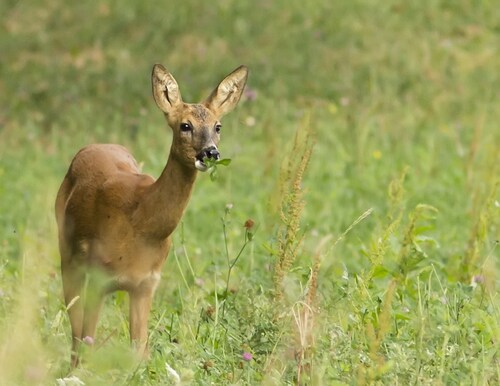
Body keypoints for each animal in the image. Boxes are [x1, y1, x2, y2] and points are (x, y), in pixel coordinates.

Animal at [55, 64, 248, 368]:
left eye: (218, 126)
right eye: (185, 125)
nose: (210, 152)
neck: (140, 220)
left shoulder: (146, 283)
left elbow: (140, 352)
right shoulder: (98, 277)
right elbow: (87, 341)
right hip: (68, 257)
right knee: (76, 333)